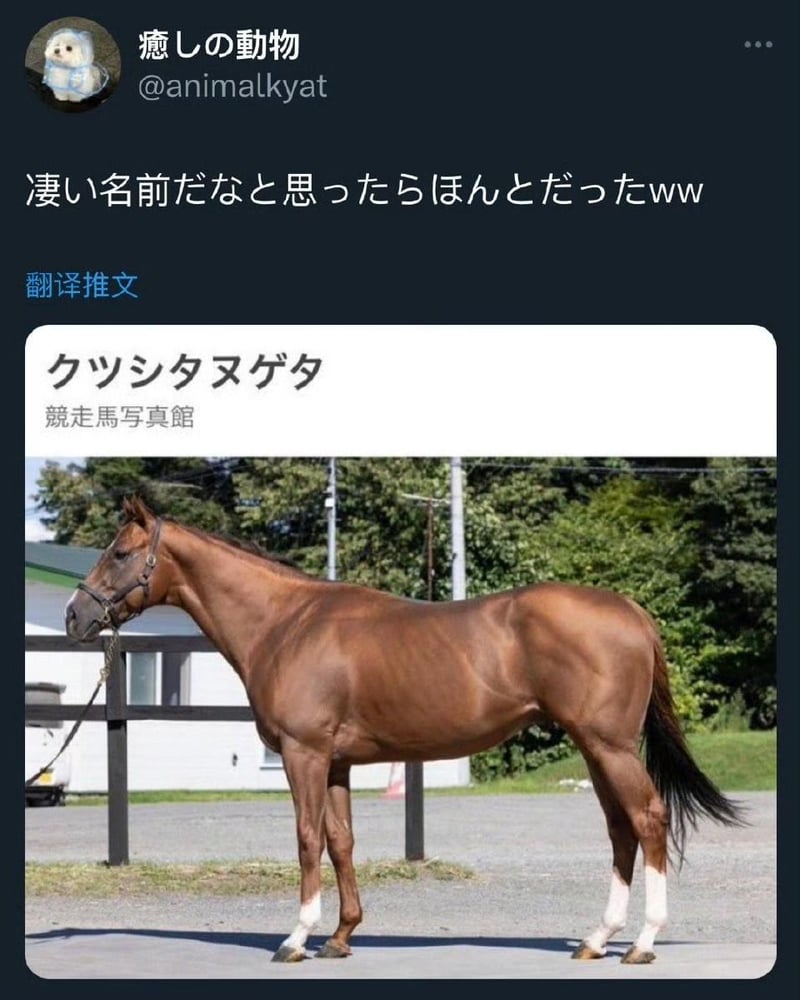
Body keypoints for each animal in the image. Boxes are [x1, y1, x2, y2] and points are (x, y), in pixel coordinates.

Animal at [65, 497, 743, 965]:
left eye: (120, 553)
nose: (75, 616)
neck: (287, 622)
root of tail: (631, 611)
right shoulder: (336, 762)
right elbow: (341, 841)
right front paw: (341, 936)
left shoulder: (304, 754)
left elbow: (307, 839)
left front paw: (296, 937)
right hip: (596, 748)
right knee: (620, 829)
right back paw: (596, 939)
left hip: (609, 746)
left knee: (648, 819)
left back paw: (642, 942)